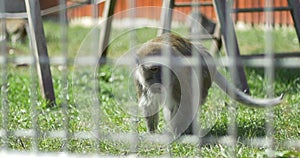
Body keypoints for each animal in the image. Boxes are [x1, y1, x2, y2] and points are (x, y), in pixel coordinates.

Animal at [134, 33, 284, 136]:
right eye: (153, 69)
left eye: (157, 68)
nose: (158, 81)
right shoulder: (139, 78)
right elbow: (149, 104)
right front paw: (153, 133)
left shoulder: (178, 77)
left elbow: (184, 103)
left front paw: (176, 133)